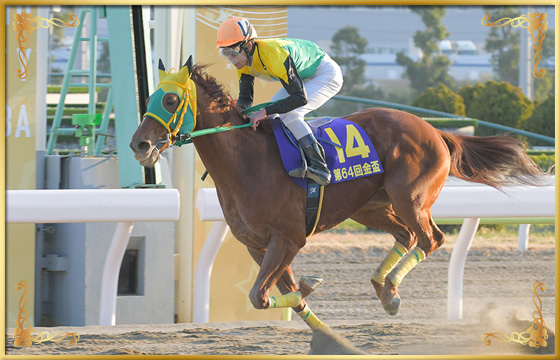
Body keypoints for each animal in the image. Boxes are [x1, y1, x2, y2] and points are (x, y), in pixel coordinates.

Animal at [130, 58, 544, 330]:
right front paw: (314, 310)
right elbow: (280, 297)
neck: (248, 160)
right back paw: (385, 289)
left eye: (170, 100)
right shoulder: (258, 245)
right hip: (368, 208)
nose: (139, 145)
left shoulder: (289, 238)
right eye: (149, 97)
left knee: (430, 238)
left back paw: (391, 288)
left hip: (410, 199)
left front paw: (308, 287)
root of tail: (436, 130)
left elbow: (259, 297)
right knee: (406, 236)